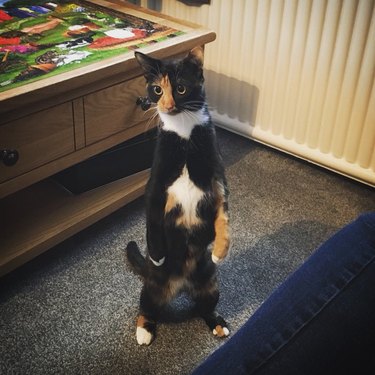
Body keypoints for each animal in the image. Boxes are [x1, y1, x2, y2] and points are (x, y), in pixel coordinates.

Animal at [126, 47, 231, 346]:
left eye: (181, 89)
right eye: (157, 89)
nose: (167, 105)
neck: (184, 133)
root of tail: (182, 285)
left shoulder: (217, 179)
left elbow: (223, 214)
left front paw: (221, 249)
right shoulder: (155, 184)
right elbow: (151, 219)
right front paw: (157, 254)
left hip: (210, 283)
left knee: (204, 307)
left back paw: (217, 324)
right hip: (152, 287)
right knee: (146, 307)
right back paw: (144, 330)